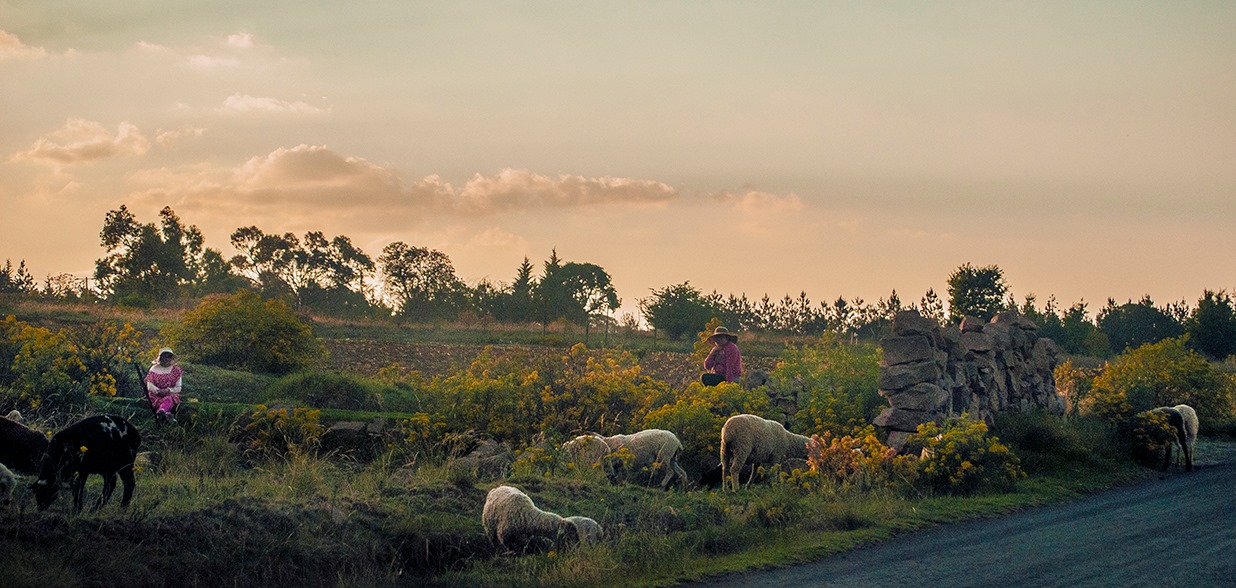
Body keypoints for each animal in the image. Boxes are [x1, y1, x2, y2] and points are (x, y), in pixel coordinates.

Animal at [563, 429, 692, 489]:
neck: (609, 444)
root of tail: (677, 441)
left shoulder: (623, 464)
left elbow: (623, 476)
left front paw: (622, 484)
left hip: (664, 455)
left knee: (670, 472)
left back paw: (662, 484)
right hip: (672, 458)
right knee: (682, 472)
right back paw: (684, 488)